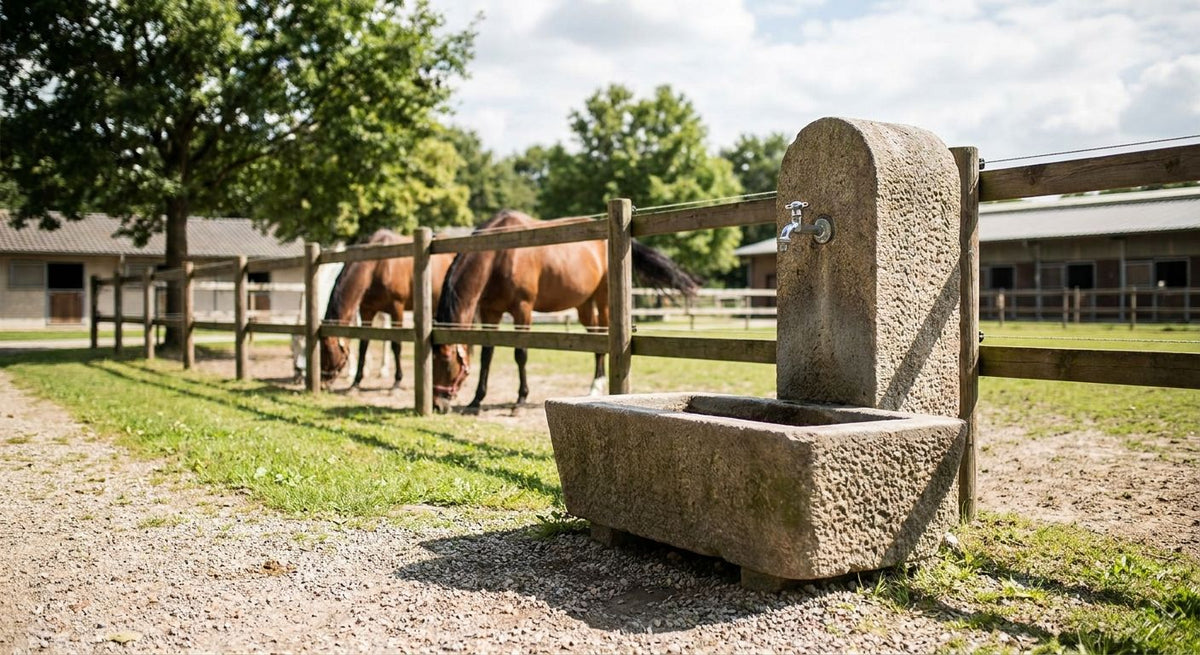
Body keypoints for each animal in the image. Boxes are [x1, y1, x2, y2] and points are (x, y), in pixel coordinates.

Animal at [320, 229, 453, 388]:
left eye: (327, 350)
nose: (322, 382)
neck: (378, 265)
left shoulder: (397, 308)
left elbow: (396, 345)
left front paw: (397, 380)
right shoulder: (366, 310)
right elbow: (364, 343)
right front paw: (356, 381)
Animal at [431, 209, 699, 414]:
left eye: (444, 361)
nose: (437, 404)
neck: (500, 254)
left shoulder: (522, 309)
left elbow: (520, 354)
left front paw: (520, 400)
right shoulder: (491, 312)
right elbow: (488, 354)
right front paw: (476, 401)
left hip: (603, 301)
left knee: (604, 336)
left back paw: (596, 386)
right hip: (584, 305)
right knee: (595, 339)